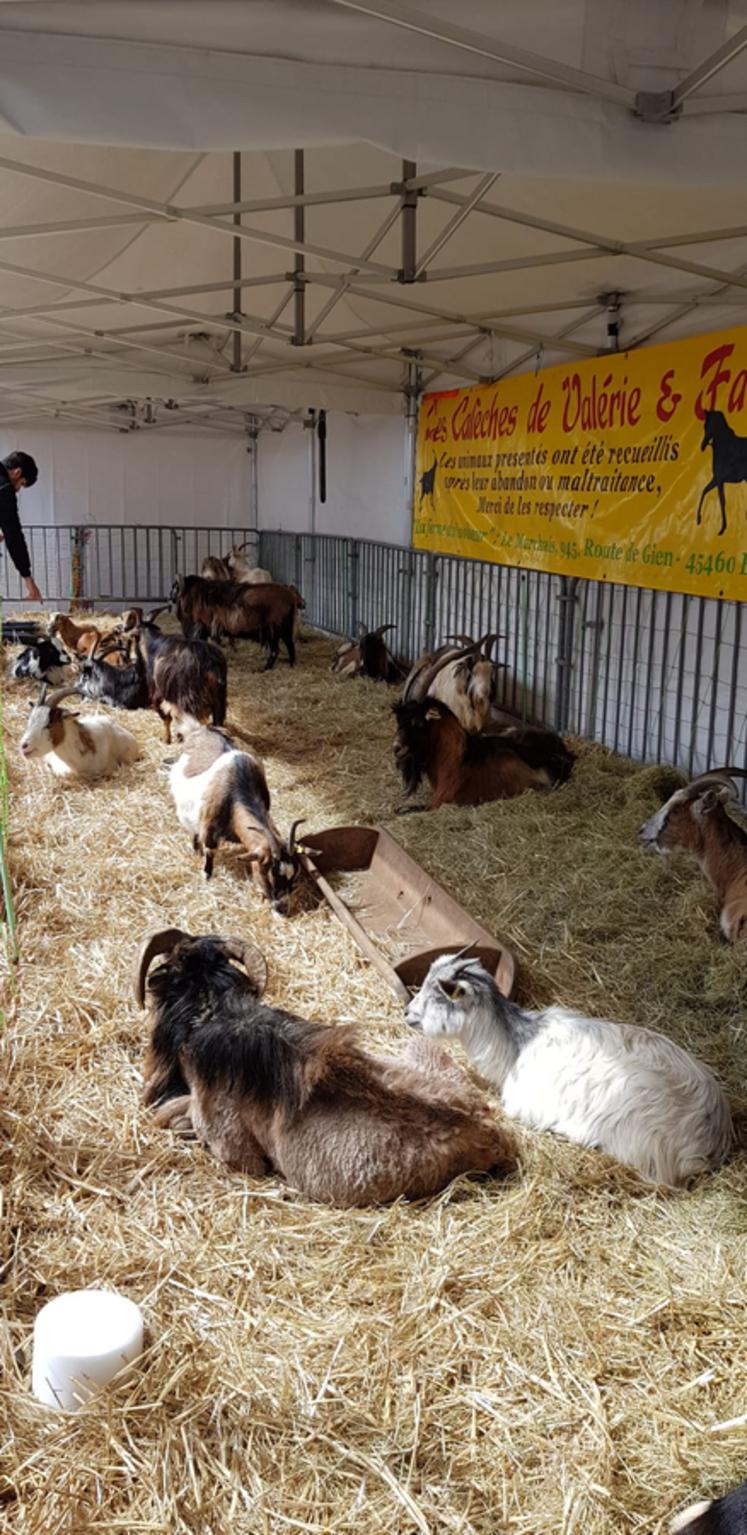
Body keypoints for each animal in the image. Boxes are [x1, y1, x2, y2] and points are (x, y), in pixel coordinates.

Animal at [167, 721, 299, 902]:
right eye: (268, 873)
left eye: (294, 876)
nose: (280, 905)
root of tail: (203, 728)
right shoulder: (209, 828)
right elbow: (210, 851)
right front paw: (207, 875)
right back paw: (195, 848)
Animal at [395, 699, 576, 816]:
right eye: (399, 723)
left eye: (417, 723)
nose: (397, 748)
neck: (454, 758)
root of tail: (564, 754)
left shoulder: (440, 802)